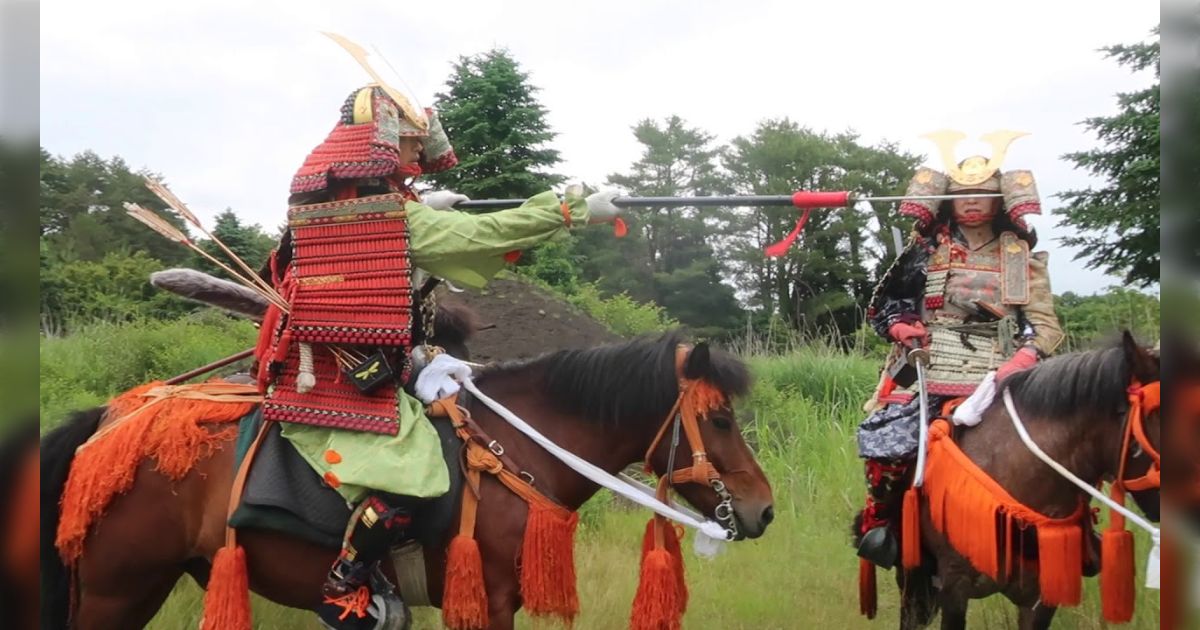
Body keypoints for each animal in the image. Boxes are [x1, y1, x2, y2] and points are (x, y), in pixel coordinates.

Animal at [41, 331, 775, 629]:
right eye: (720, 417)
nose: (763, 510)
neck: (514, 447)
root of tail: (110, 421)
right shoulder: (484, 602)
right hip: (117, 590)